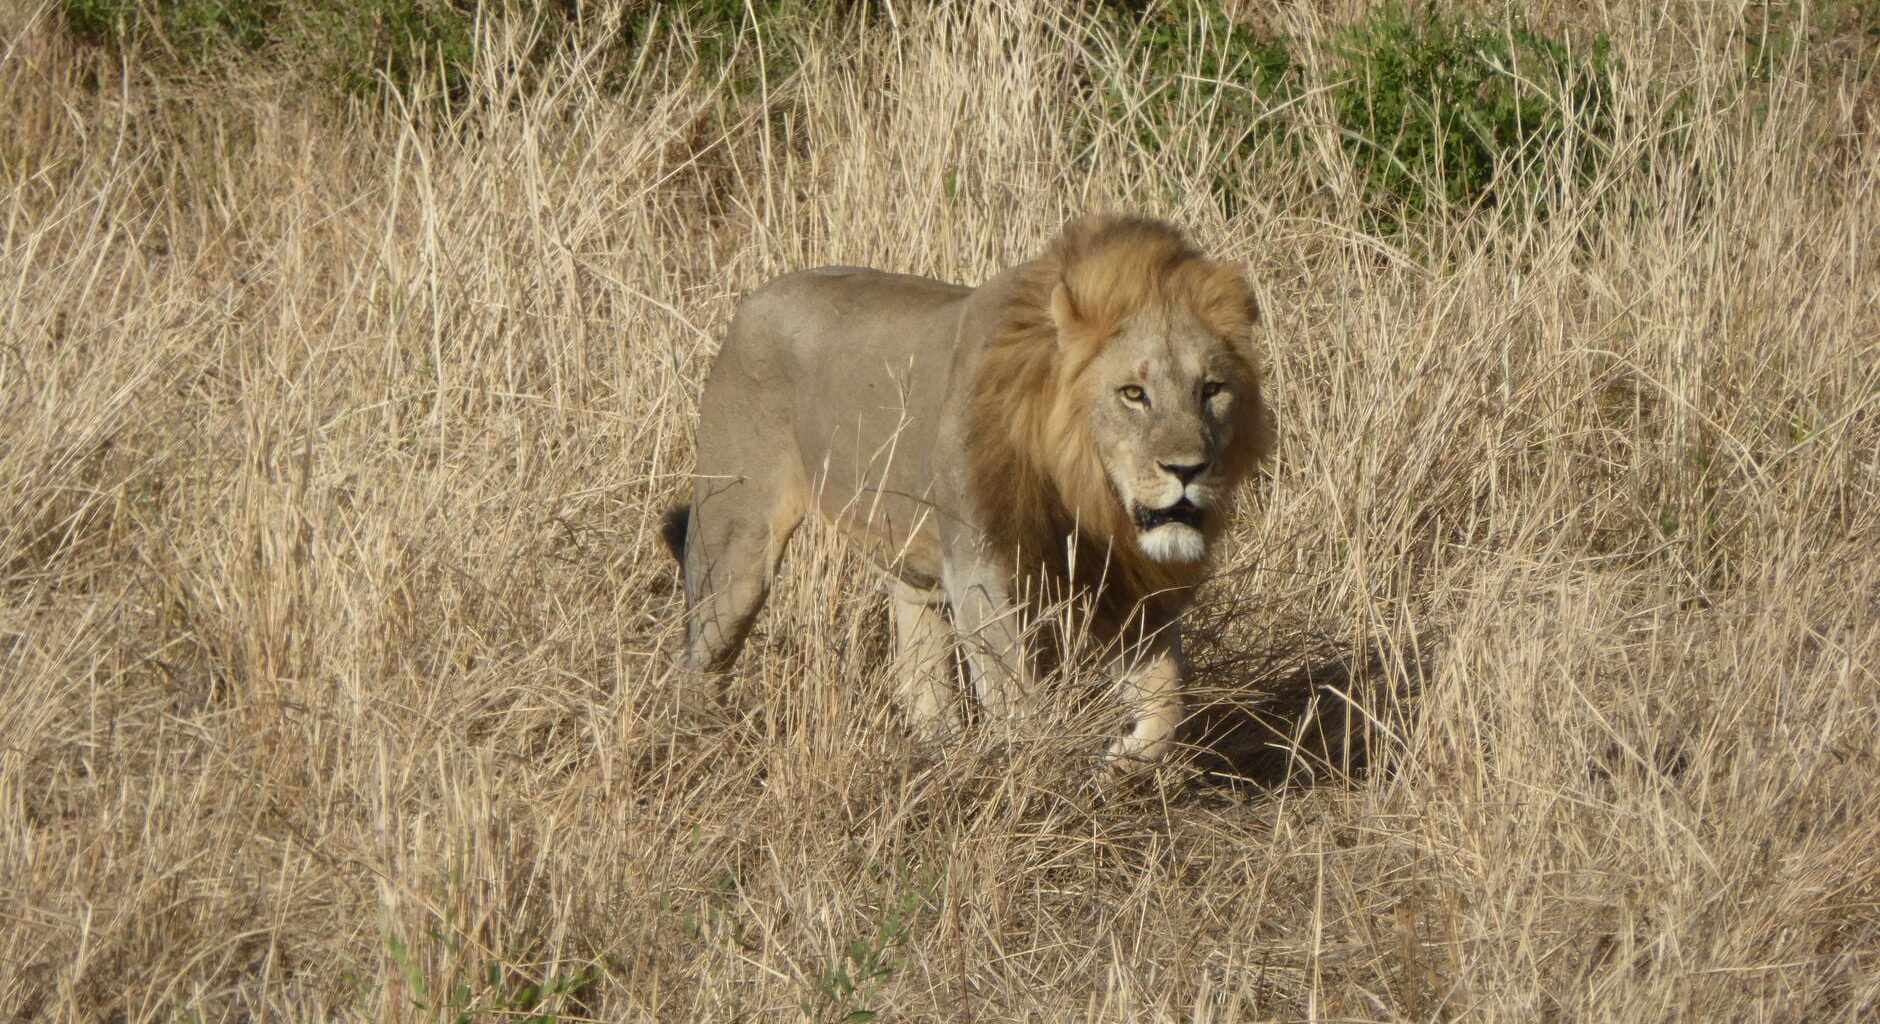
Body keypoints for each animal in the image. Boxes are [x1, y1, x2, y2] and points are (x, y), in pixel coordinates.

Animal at [661, 214, 1274, 764]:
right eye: (1132, 393)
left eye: (1212, 389)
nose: (1189, 469)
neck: (1084, 492)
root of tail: (754, 299)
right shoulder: (983, 571)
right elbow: (1019, 700)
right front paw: (1039, 777)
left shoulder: (1128, 580)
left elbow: (1168, 698)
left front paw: (1124, 758)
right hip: (734, 542)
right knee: (701, 659)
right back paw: (701, 748)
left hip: (910, 564)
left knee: (919, 672)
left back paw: (941, 755)